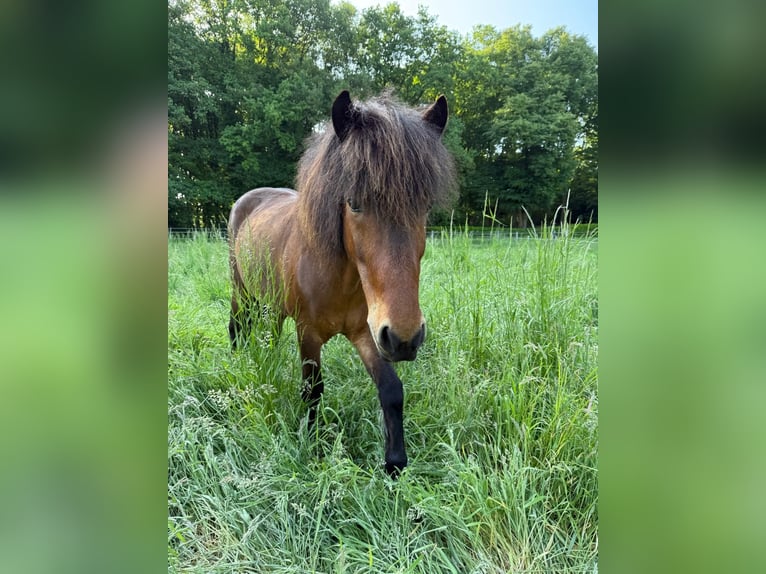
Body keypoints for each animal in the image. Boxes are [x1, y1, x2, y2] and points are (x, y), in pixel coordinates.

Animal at [227, 90, 456, 475]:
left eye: (424, 206)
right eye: (354, 203)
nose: (406, 339)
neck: (339, 279)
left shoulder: (368, 333)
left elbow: (392, 390)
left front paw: (395, 463)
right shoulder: (308, 333)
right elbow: (312, 389)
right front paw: (313, 443)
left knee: (269, 333)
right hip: (240, 292)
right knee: (237, 327)